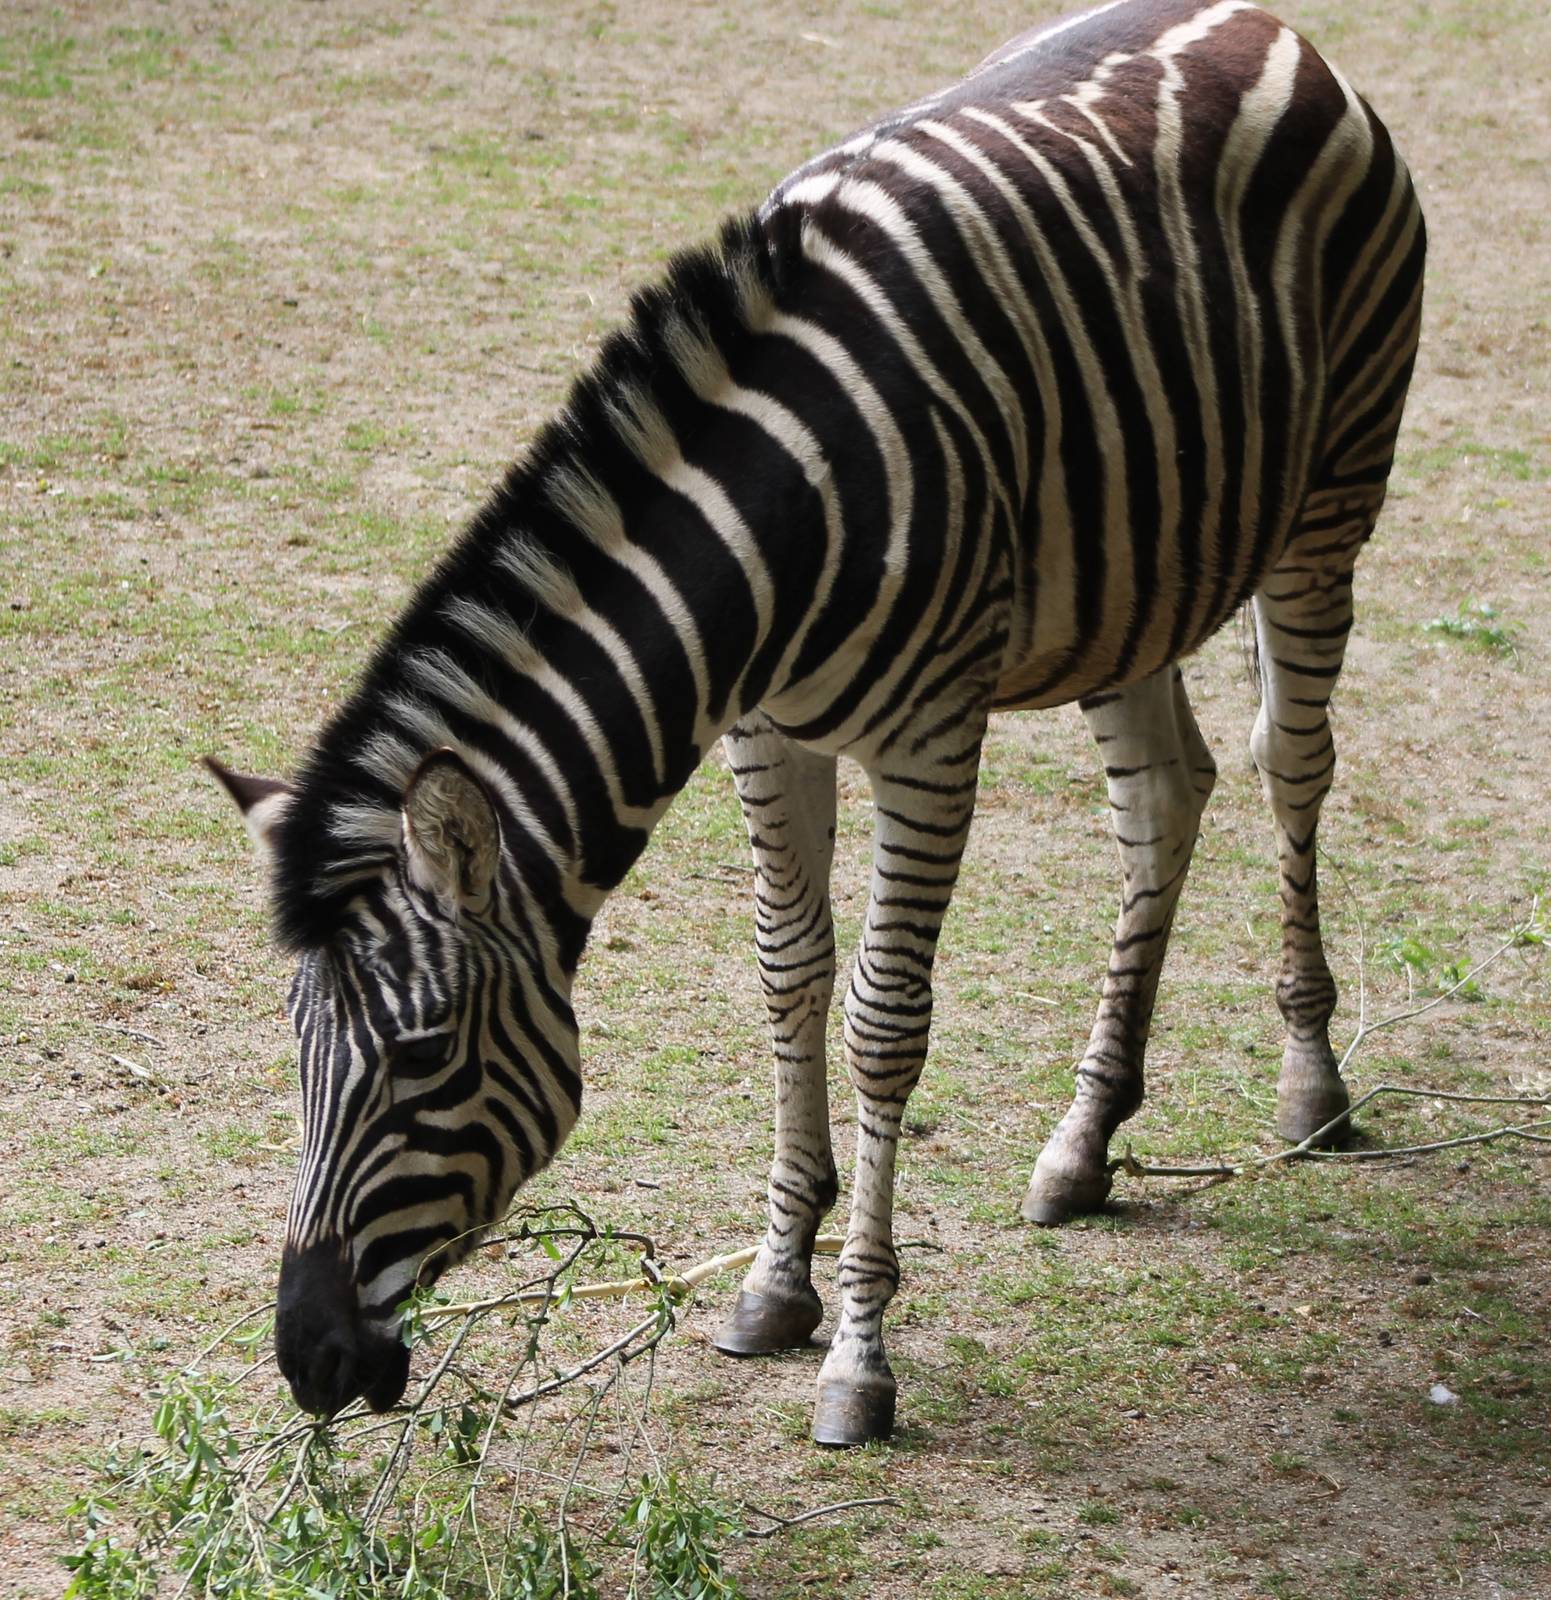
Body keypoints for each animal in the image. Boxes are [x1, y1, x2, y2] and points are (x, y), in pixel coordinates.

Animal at [209, 0, 1425, 1447]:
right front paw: (777, 1285)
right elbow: (787, 978)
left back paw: (1312, 1081)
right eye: (297, 1057)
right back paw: (1083, 1143)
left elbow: (881, 1022)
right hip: (1135, 569)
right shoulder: (765, 729)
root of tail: (1263, 23)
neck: (772, 521)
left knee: (1291, 766)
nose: (308, 1361)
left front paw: (858, 1354)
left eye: (424, 1055)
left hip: (1328, 503)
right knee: (1164, 795)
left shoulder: (929, 739)